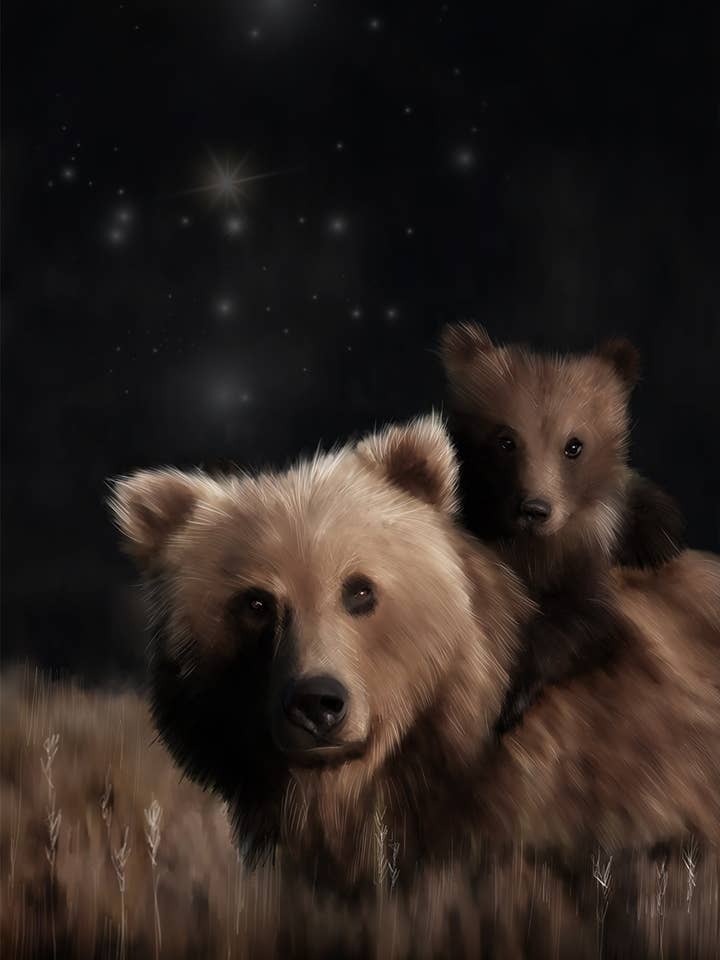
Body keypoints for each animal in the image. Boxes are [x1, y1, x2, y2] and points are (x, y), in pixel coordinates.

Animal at [440, 324, 686, 733]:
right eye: (506, 440)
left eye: (574, 445)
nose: (535, 509)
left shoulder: (584, 563)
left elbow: (583, 621)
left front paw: (515, 693)